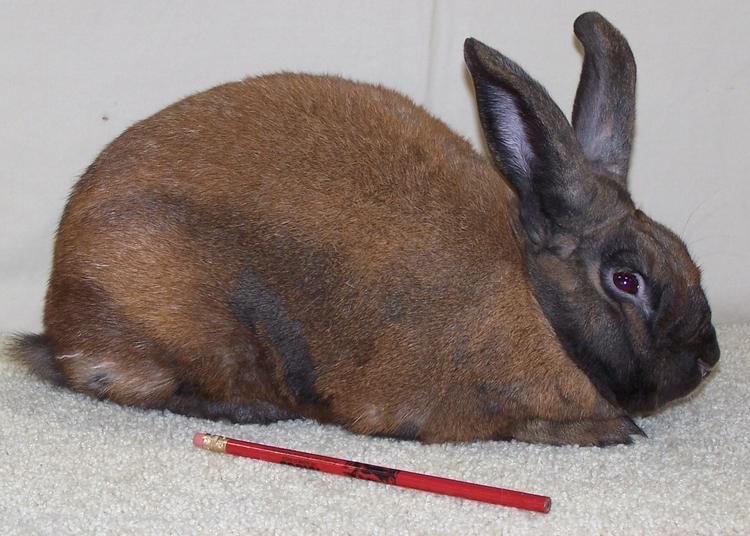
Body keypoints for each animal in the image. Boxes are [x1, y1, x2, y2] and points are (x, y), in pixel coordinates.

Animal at [9, 12, 719, 446]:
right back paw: (251, 410)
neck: (534, 299)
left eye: (688, 256)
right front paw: (611, 432)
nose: (709, 357)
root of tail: (58, 306)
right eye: (626, 280)